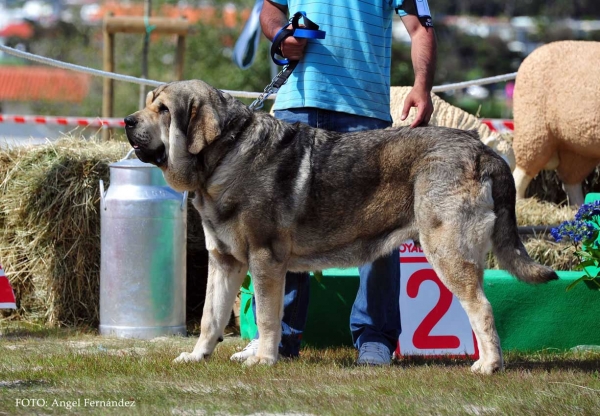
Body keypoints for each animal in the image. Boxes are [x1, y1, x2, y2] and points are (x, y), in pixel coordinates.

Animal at [124, 79, 560, 376]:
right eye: (148, 105)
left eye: (163, 109)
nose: (127, 121)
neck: (225, 153)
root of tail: (486, 151)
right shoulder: (224, 261)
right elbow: (209, 317)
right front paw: (197, 355)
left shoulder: (265, 260)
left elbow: (267, 317)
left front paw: (264, 358)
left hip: (447, 251)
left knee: (481, 308)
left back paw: (488, 365)